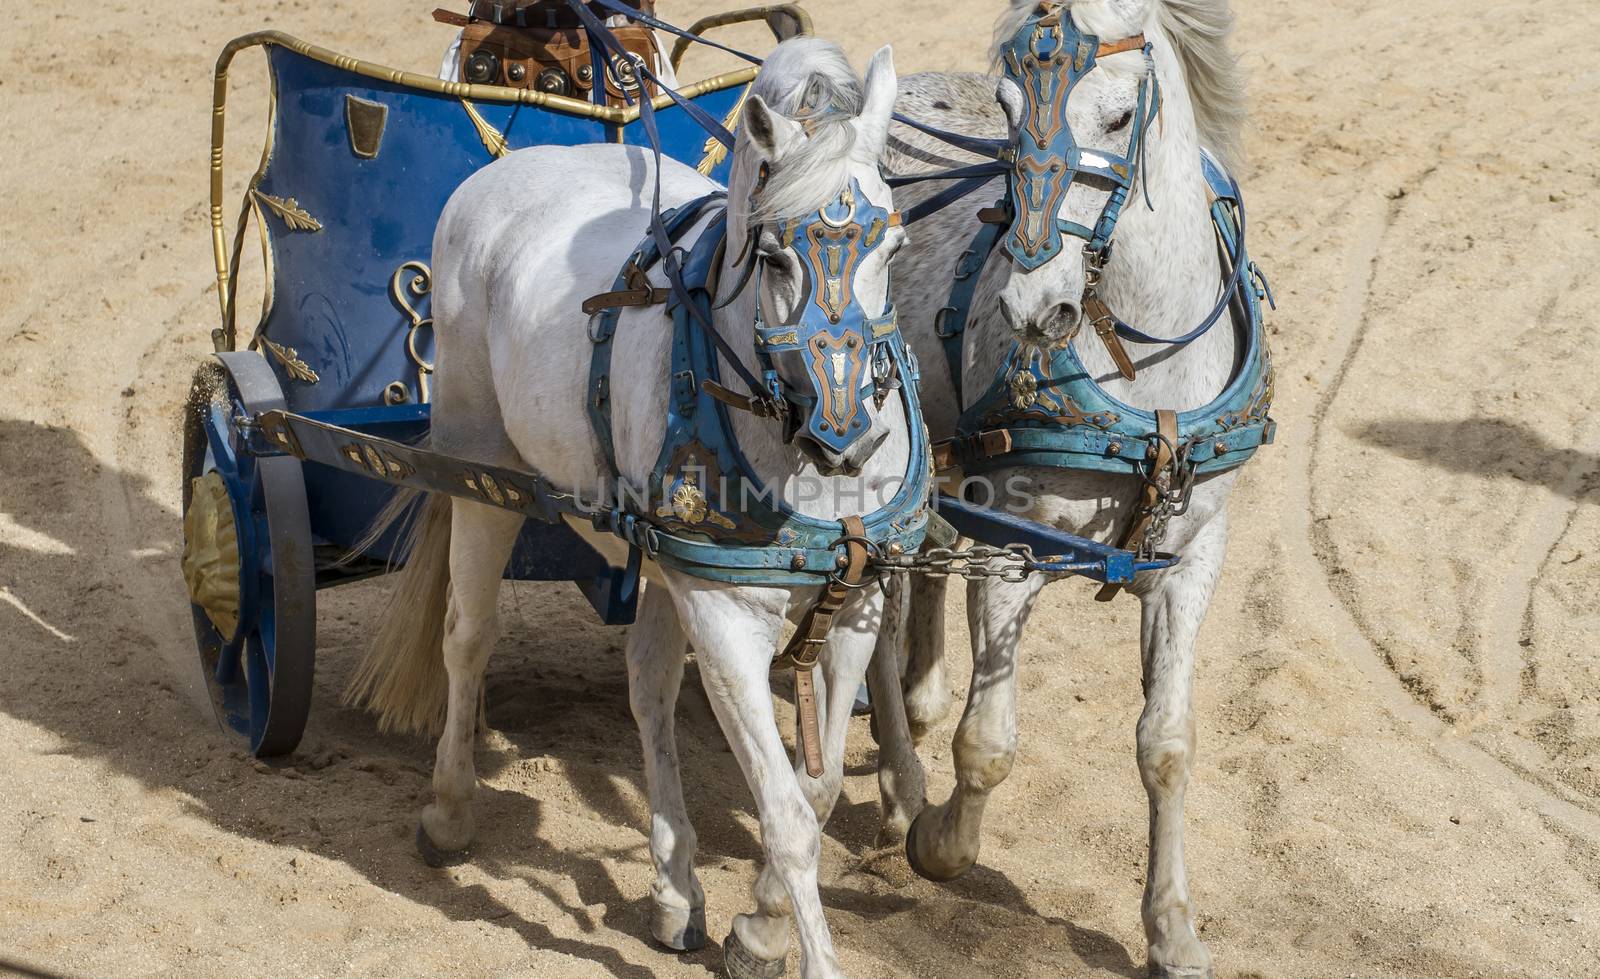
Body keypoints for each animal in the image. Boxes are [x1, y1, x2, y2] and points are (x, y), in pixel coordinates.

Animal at [345, 38, 908, 978]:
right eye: (772, 254)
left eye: (895, 242)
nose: (849, 439)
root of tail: (513, 166)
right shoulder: (723, 618)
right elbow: (788, 817)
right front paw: (789, 940)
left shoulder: (855, 602)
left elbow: (822, 786)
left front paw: (755, 925)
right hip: (480, 470)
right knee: (467, 636)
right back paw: (451, 809)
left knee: (645, 681)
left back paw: (675, 891)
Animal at [876, 1, 1260, 978]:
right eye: (1011, 111)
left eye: (1122, 117)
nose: (1031, 306)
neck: (1145, 369)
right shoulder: (1015, 545)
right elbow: (988, 744)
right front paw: (941, 842)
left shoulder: (1193, 557)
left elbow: (1167, 746)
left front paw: (1172, 928)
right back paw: (899, 780)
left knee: (927, 561)